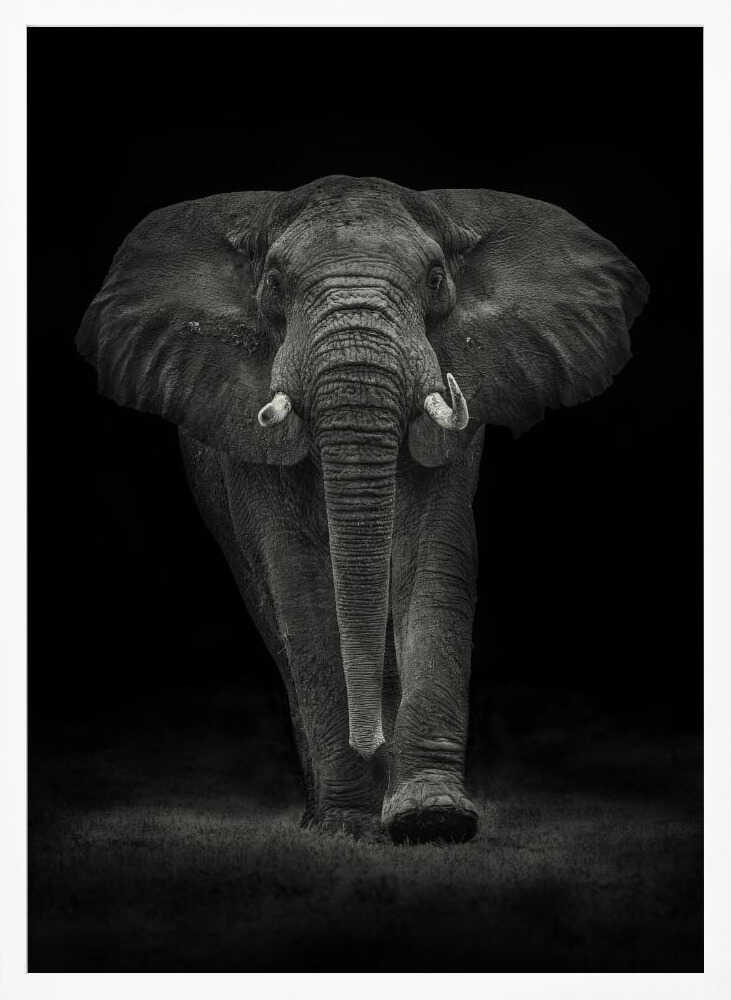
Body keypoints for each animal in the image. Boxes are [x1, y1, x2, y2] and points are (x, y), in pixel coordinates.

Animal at [76, 174, 648, 844]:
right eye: (274, 282)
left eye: (435, 277)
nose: (368, 739)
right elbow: (298, 579)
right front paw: (349, 826)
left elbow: (433, 558)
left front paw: (432, 820)